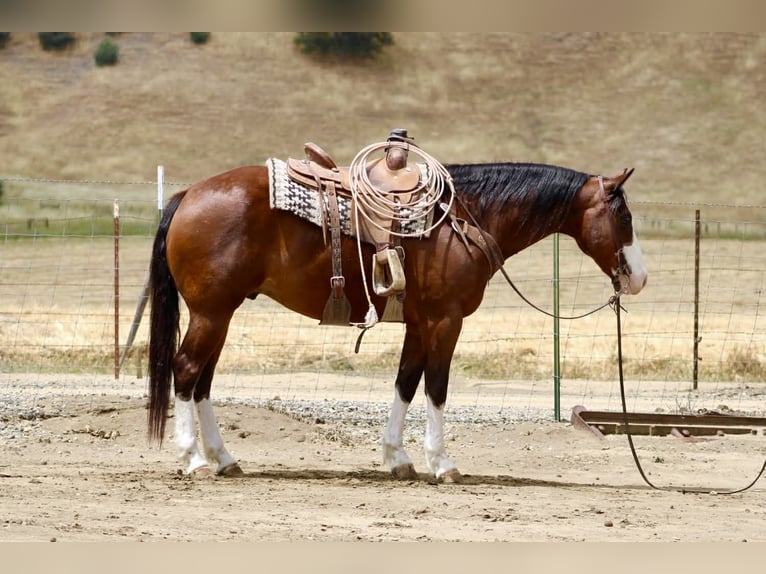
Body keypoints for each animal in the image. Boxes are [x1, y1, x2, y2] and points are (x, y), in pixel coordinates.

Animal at [147, 160, 647, 481]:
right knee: (186, 371)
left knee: (203, 381)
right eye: (623, 216)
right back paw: (194, 460)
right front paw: (442, 464)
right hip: (212, 313)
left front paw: (397, 459)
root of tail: (187, 195)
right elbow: (437, 387)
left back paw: (224, 458)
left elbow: (406, 383)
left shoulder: (419, 324)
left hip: (221, 313)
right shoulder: (446, 321)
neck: (463, 220)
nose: (639, 278)